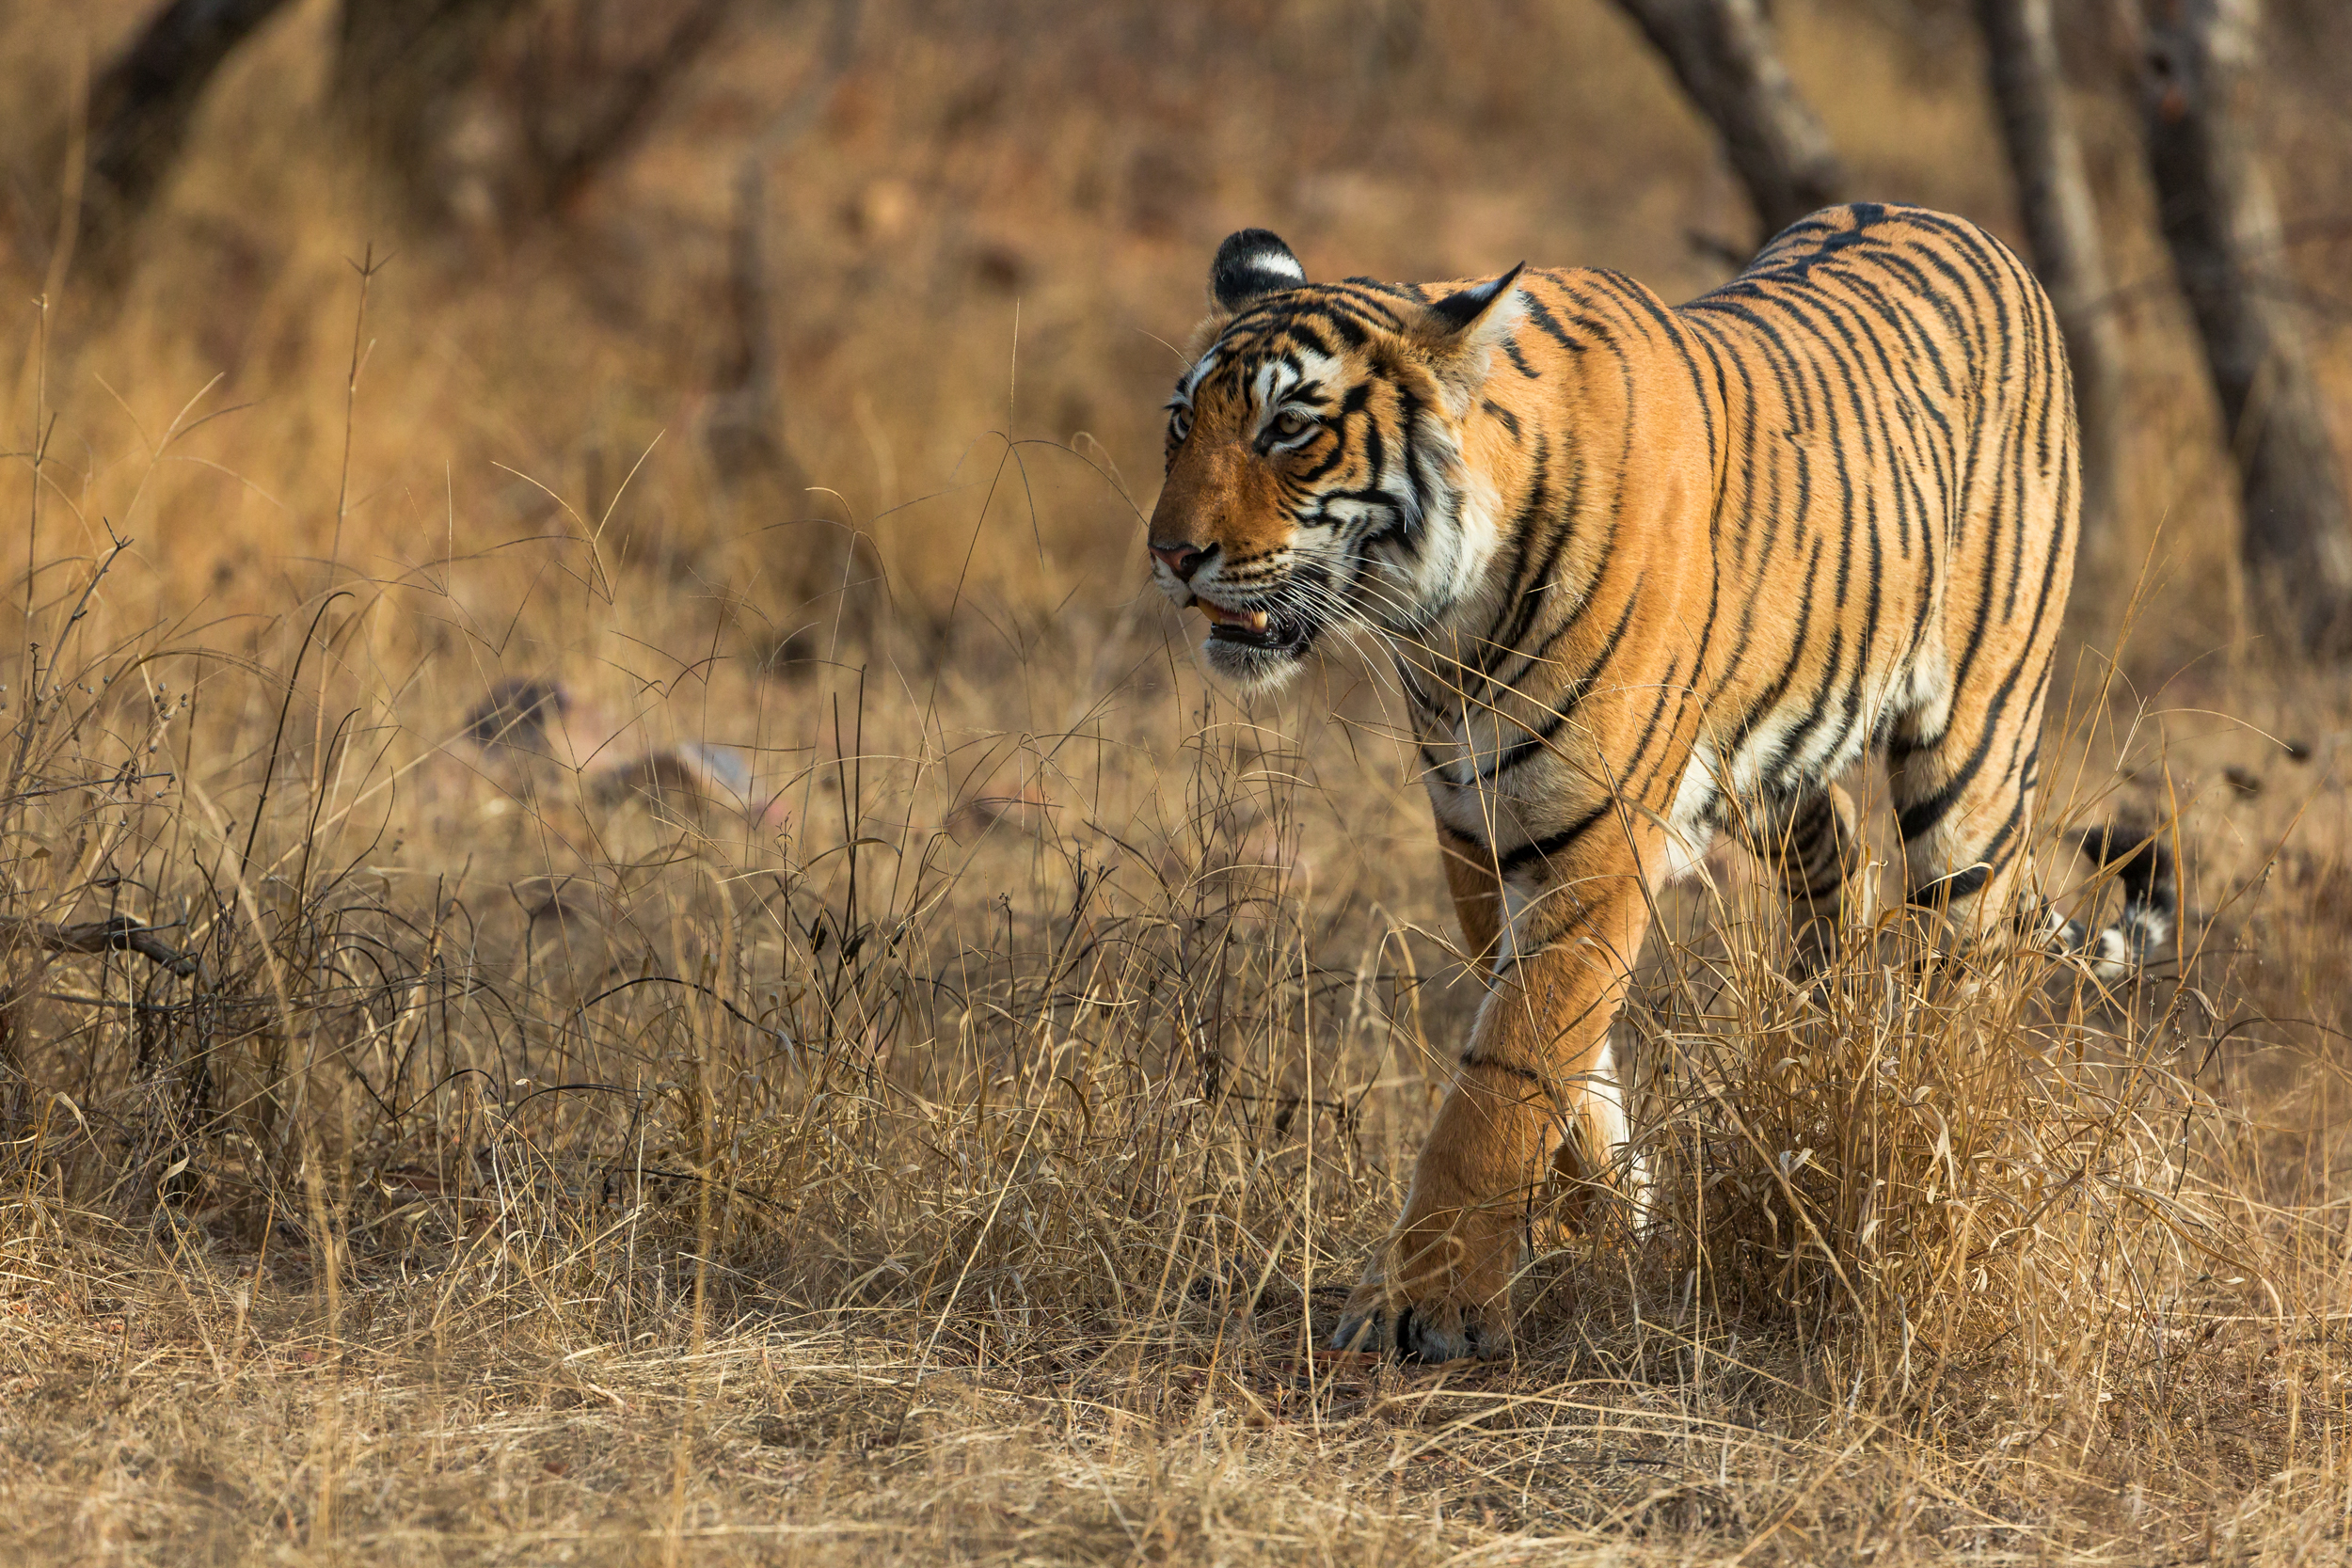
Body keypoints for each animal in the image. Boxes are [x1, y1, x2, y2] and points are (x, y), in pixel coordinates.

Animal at [1148, 199, 2173, 1363]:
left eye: (1287, 427)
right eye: (1181, 423)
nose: (1170, 554)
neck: (1443, 629)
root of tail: (1971, 229)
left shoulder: (1596, 838)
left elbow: (1506, 1066)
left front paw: (1427, 1301)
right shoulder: (1478, 831)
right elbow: (1554, 1047)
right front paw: (1617, 1207)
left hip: (1972, 755)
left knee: (1970, 960)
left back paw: (1930, 1128)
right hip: (1775, 758)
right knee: (1840, 865)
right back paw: (1817, 1049)